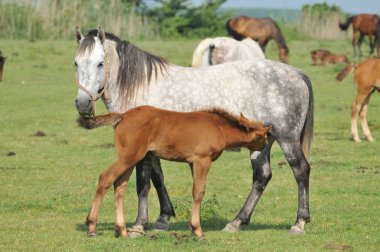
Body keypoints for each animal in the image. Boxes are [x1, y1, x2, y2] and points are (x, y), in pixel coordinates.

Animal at [78, 104, 272, 238]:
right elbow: (199, 192)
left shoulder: (192, 163)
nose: (264, 147)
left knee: (119, 186)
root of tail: (122, 116)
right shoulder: (202, 160)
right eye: (263, 137)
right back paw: (92, 227)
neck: (219, 127)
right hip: (128, 157)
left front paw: (193, 229)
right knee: (105, 178)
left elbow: (196, 192)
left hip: (131, 159)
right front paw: (198, 231)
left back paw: (123, 231)